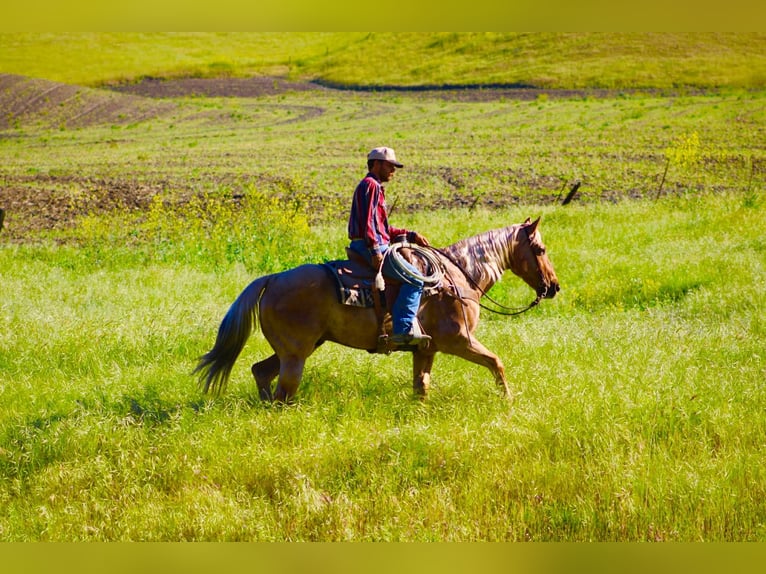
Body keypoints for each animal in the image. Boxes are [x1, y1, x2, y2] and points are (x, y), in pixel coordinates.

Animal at [194, 217, 559, 401]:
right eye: (540, 249)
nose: (553, 286)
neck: (460, 276)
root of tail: (272, 279)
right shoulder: (458, 340)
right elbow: (496, 363)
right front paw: (508, 399)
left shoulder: (426, 349)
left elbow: (421, 386)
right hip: (296, 354)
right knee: (283, 389)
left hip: (296, 349)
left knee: (260, 371)